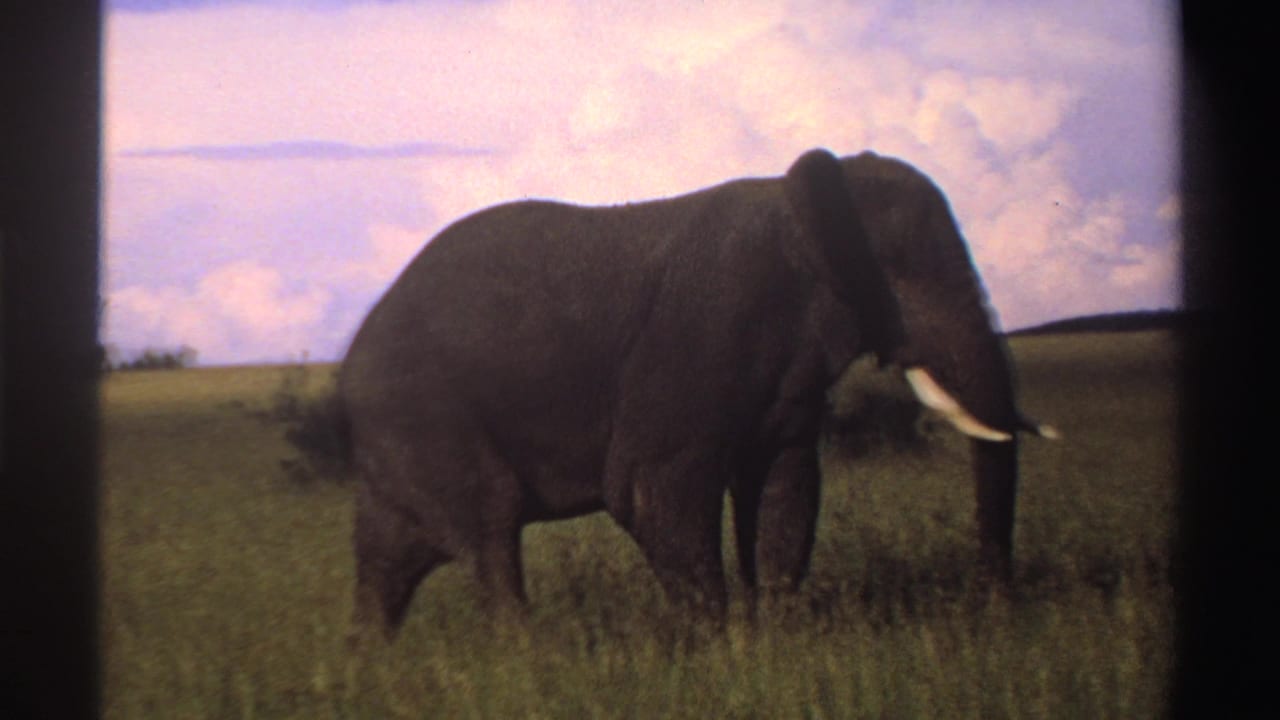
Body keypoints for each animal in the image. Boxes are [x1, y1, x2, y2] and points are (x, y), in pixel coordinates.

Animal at [339, 148, 1054, 638]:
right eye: (904, 274)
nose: (997, 608)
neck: (800, 203)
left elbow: (787, 487)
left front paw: (780, 636)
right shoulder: (699, 335)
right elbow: (654, 491)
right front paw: (720, 650)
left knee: (388, 564)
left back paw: (373, 659)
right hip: (426, 419)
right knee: (491, 534)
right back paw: (525, 657)